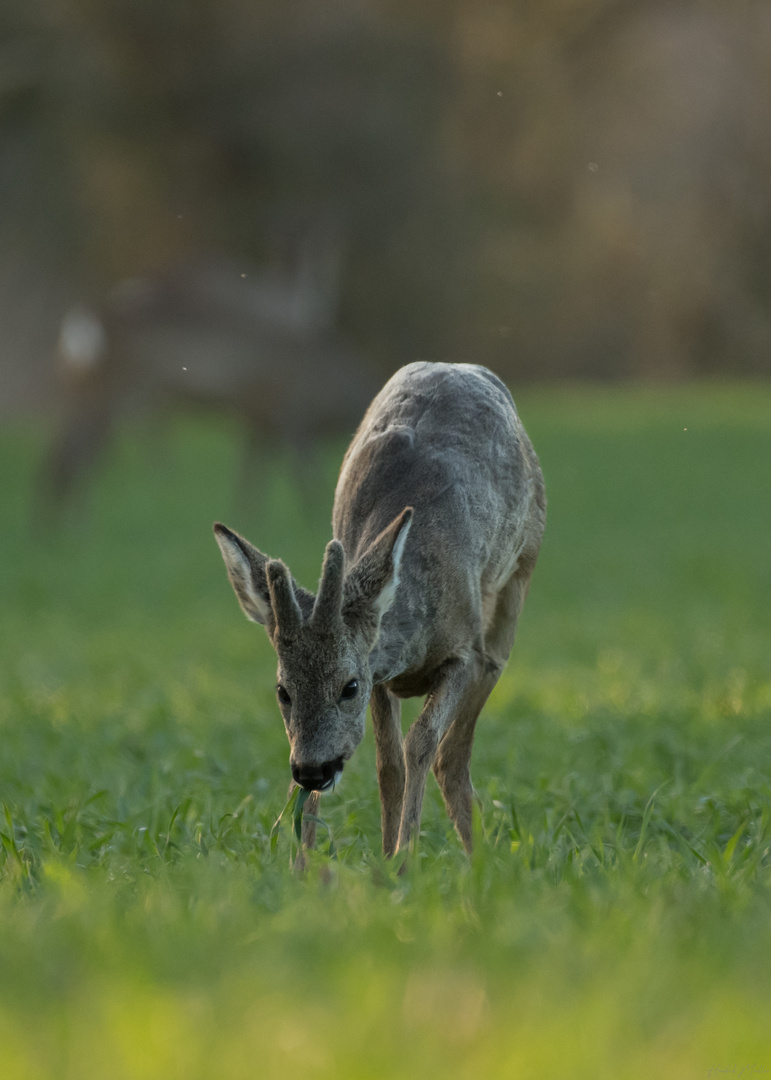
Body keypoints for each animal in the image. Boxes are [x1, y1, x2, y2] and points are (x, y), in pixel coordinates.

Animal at [212, 362, 544, 859]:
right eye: (283, 691)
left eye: (349, 687)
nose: (311, 770)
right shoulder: (382, 678)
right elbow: (388, 765)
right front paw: (366, 859)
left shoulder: (462, 652)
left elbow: (420, 744)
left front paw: (405, 857)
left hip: (518, 577)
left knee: (453, 751)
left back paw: (481, 856)